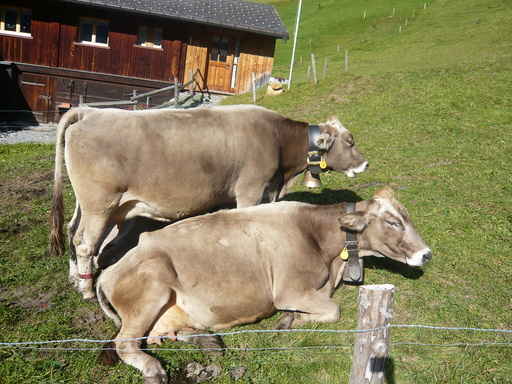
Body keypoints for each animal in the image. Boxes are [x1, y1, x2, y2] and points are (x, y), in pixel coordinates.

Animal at [50, 105, 368, 300]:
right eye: (350, 141)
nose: (364, 164)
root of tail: (90, 112)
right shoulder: (250, 189)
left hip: (90, 206)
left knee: (72, 231)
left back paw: (75, 277)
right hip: (100, 204)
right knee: (85, 244)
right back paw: (87, 288)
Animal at [97, 188, 432, 382]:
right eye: (392, 222)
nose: (426, 254)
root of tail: (108, 270)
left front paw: (291, 318)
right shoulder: (288, 290)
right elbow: (333, 310)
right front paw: (289, 321)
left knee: (163, 335)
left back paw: (210, 342)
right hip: (151, 287)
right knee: (126, 343)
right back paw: (154, 369)